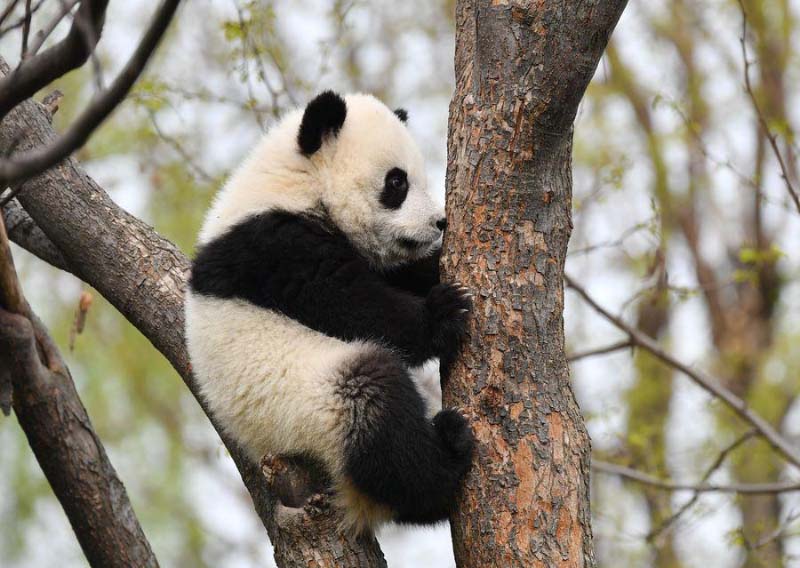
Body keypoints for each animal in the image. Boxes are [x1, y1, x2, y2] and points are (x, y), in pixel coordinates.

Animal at [186, 90, 476, 532]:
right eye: (397, 182)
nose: (439, 223)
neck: (296, 182)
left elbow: (396, 274)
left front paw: (433, 272)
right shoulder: (274, 247)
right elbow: (348, 303)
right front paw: (443, 313)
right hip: (305, 408)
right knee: (376, 403)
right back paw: (448, 456)